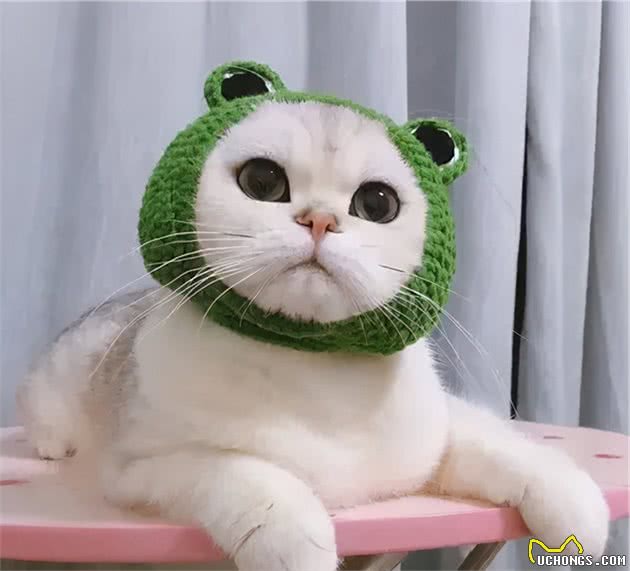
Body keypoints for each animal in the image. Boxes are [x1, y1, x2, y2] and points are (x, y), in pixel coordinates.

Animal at [17, 65, 609, 571]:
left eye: (377, 203)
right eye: (262, 180)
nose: (320, 220)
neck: (317, 370)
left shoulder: (437, 432)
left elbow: (505, 446)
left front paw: (577, 506)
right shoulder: (141, 466)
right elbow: (242, 471)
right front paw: (294, 537)